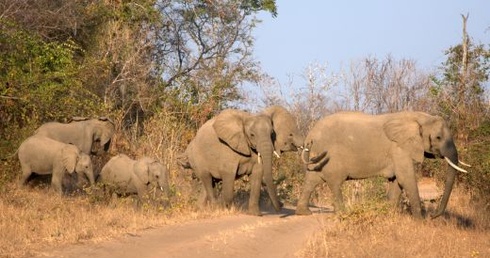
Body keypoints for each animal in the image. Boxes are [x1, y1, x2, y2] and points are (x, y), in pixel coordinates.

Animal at [292, 111, 468, 220]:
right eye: (438, 138)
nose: (433, 216)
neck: (420, 116)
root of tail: (309, 136)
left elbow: (397, 181)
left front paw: (389, 214)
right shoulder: (399, 148)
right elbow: (406, 178)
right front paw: (420, 221)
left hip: (316, 155)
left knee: (311, 180)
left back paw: (304, 213)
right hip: (330, 157)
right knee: (334, 182)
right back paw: (343, 213)